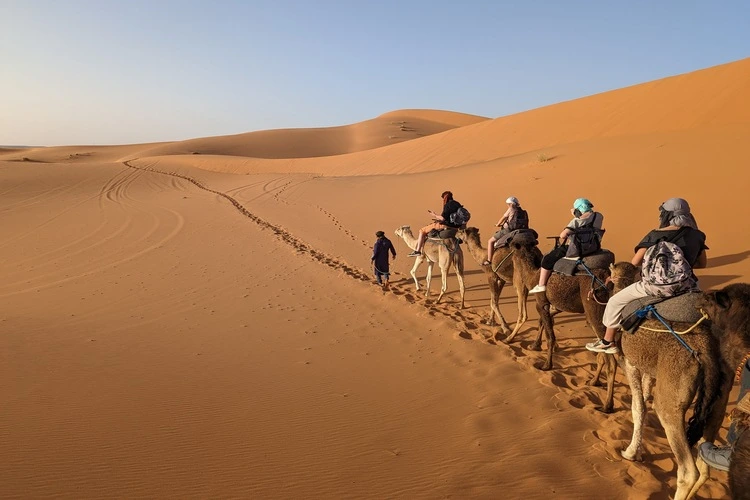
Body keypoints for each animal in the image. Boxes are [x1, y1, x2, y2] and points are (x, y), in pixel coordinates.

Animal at [508, 240, 620, 412]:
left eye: (513, 248)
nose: (507, 245)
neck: (532, 274)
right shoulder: (555, 306)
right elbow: (544, 323)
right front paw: (534, 346)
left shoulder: (541, 303)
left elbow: (550, 335)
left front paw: (546, 365)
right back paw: (593, 382)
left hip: (594, 305)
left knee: (611, 360)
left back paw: (607, 406)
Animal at [608, 264, 736, 498]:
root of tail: (706, 350)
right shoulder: (650, 370)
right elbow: (644, 400)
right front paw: (637, 453)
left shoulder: (631, 363)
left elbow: (638, 407)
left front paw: (630, 453)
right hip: (718, 402)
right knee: (705, 467)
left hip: (671, 398)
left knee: (688, 470)